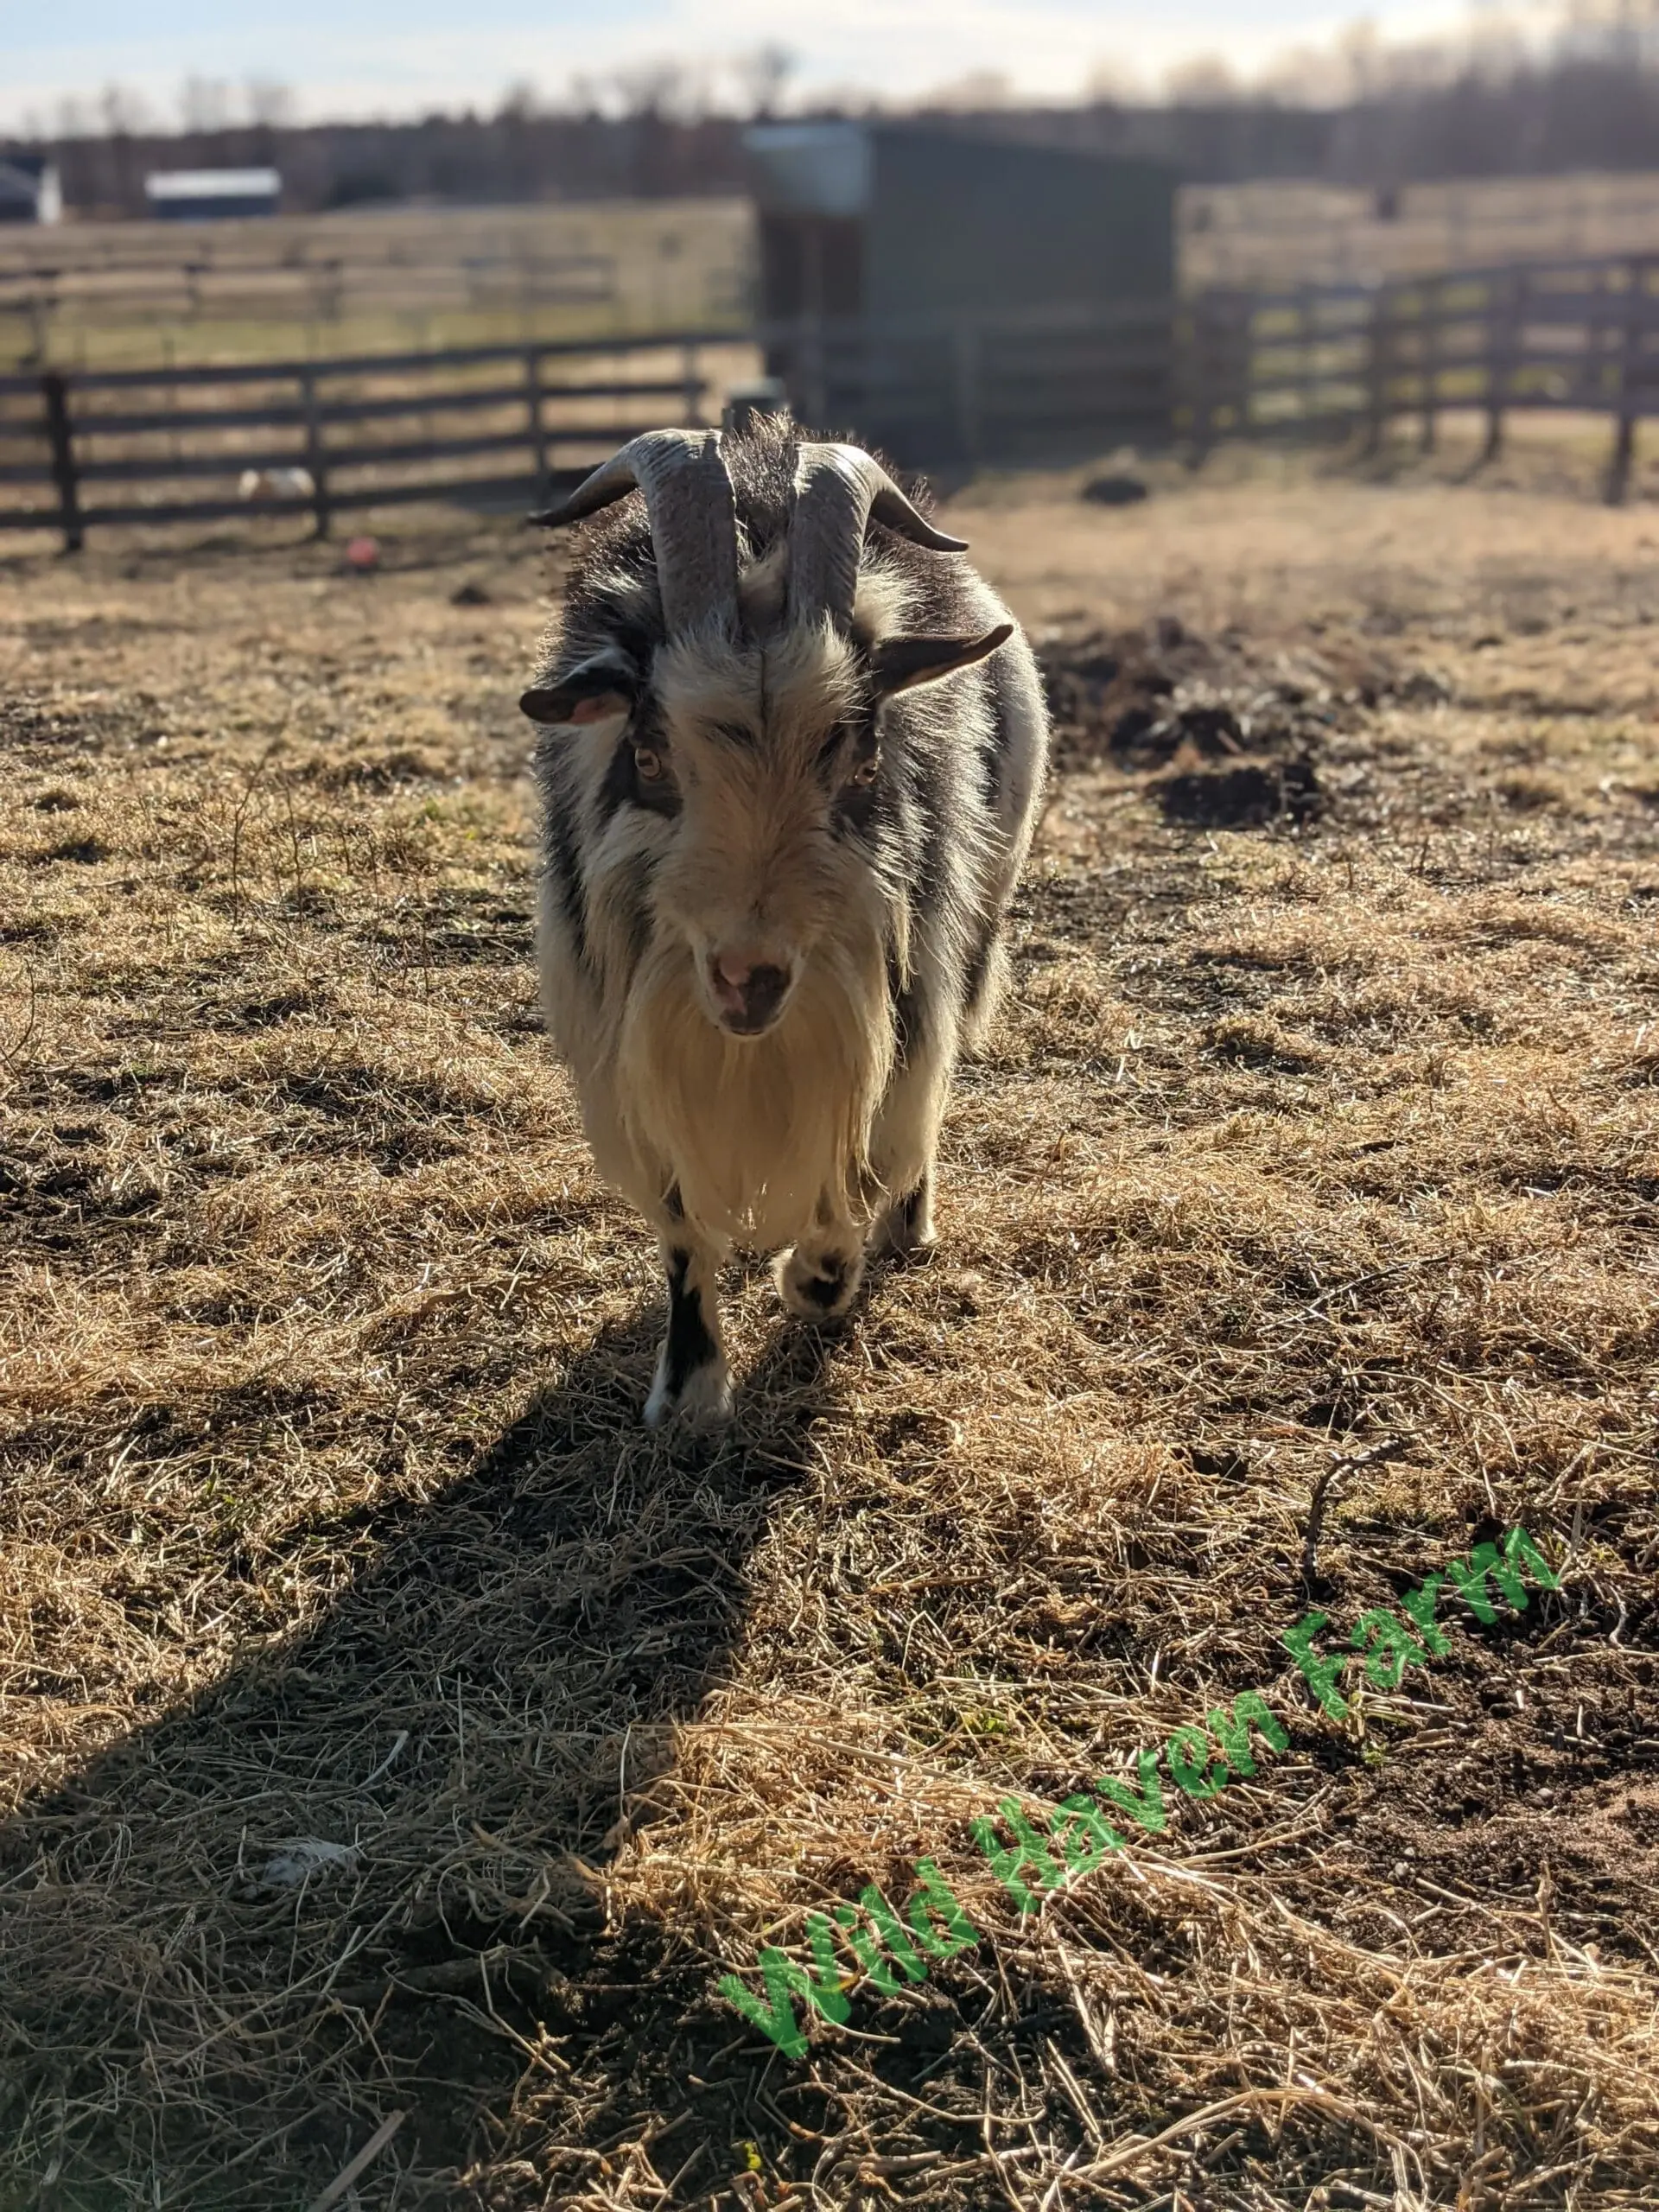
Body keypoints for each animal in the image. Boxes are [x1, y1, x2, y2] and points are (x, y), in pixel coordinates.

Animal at [522, 416, 1049, 1425]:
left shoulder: (890, 989)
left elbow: (868, 1136)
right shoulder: (627, 1039)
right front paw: (688, 1391)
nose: (749, 979)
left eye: (863, 760)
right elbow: (682, 1220)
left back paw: (905, 1226)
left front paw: (818, 1276)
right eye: (650, 755)